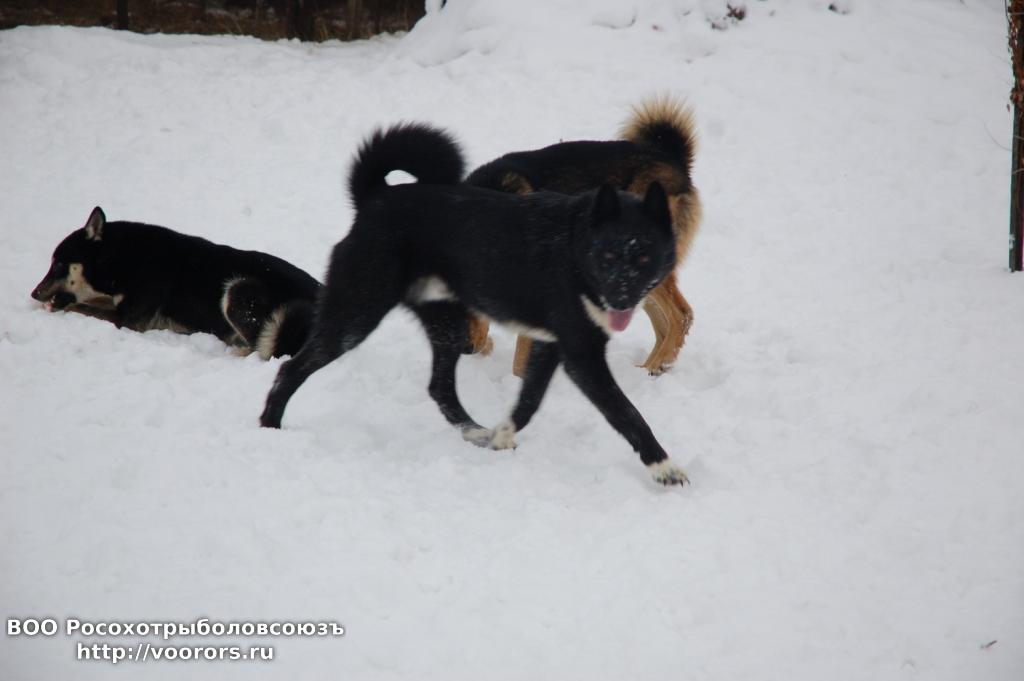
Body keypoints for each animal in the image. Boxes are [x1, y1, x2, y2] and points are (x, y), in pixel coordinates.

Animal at [31, 207, 320, 359]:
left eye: (59, 264)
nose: (34, 293)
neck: (123, 257)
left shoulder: (128, 319)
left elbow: (80, 307)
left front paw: (55, 306)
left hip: (239, 290)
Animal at [260, 123, 689, 486]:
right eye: (608, 256)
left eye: (643, 256)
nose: (620, 299)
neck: (573, 250)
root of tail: (376, 198)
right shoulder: (581, 354)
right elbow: (626, 413)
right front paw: (664, 467)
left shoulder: (552, 344)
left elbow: (528, 403)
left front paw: (500, 437)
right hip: (357, 314)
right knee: (290, 370)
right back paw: (269, 428)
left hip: (446, 325)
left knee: (439, 387)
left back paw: (475, 431)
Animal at [465, 96, 702, 376]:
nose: (464, 349)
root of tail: (671, 157)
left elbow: (519, 361)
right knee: (665, 324)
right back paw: (647, 370)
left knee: (682, 315)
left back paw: (657, 365)